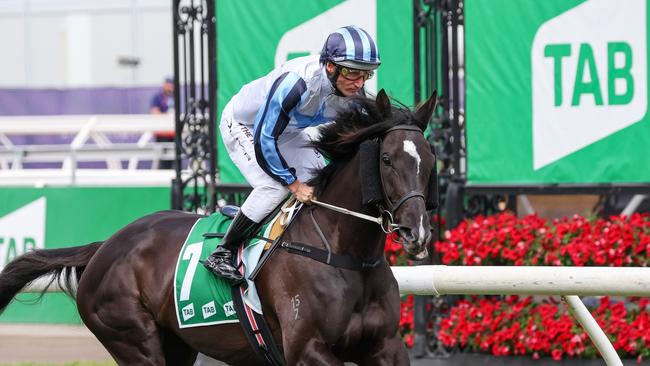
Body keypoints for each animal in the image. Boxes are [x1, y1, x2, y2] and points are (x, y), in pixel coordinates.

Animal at [0, 89, 438, 366]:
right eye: (386, 159)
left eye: (430, 158)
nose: (416, 233)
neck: (342, 252)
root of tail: (106, 245)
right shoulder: (308, 349)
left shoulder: (387, 347)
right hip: (132, 339)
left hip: (178, 345)